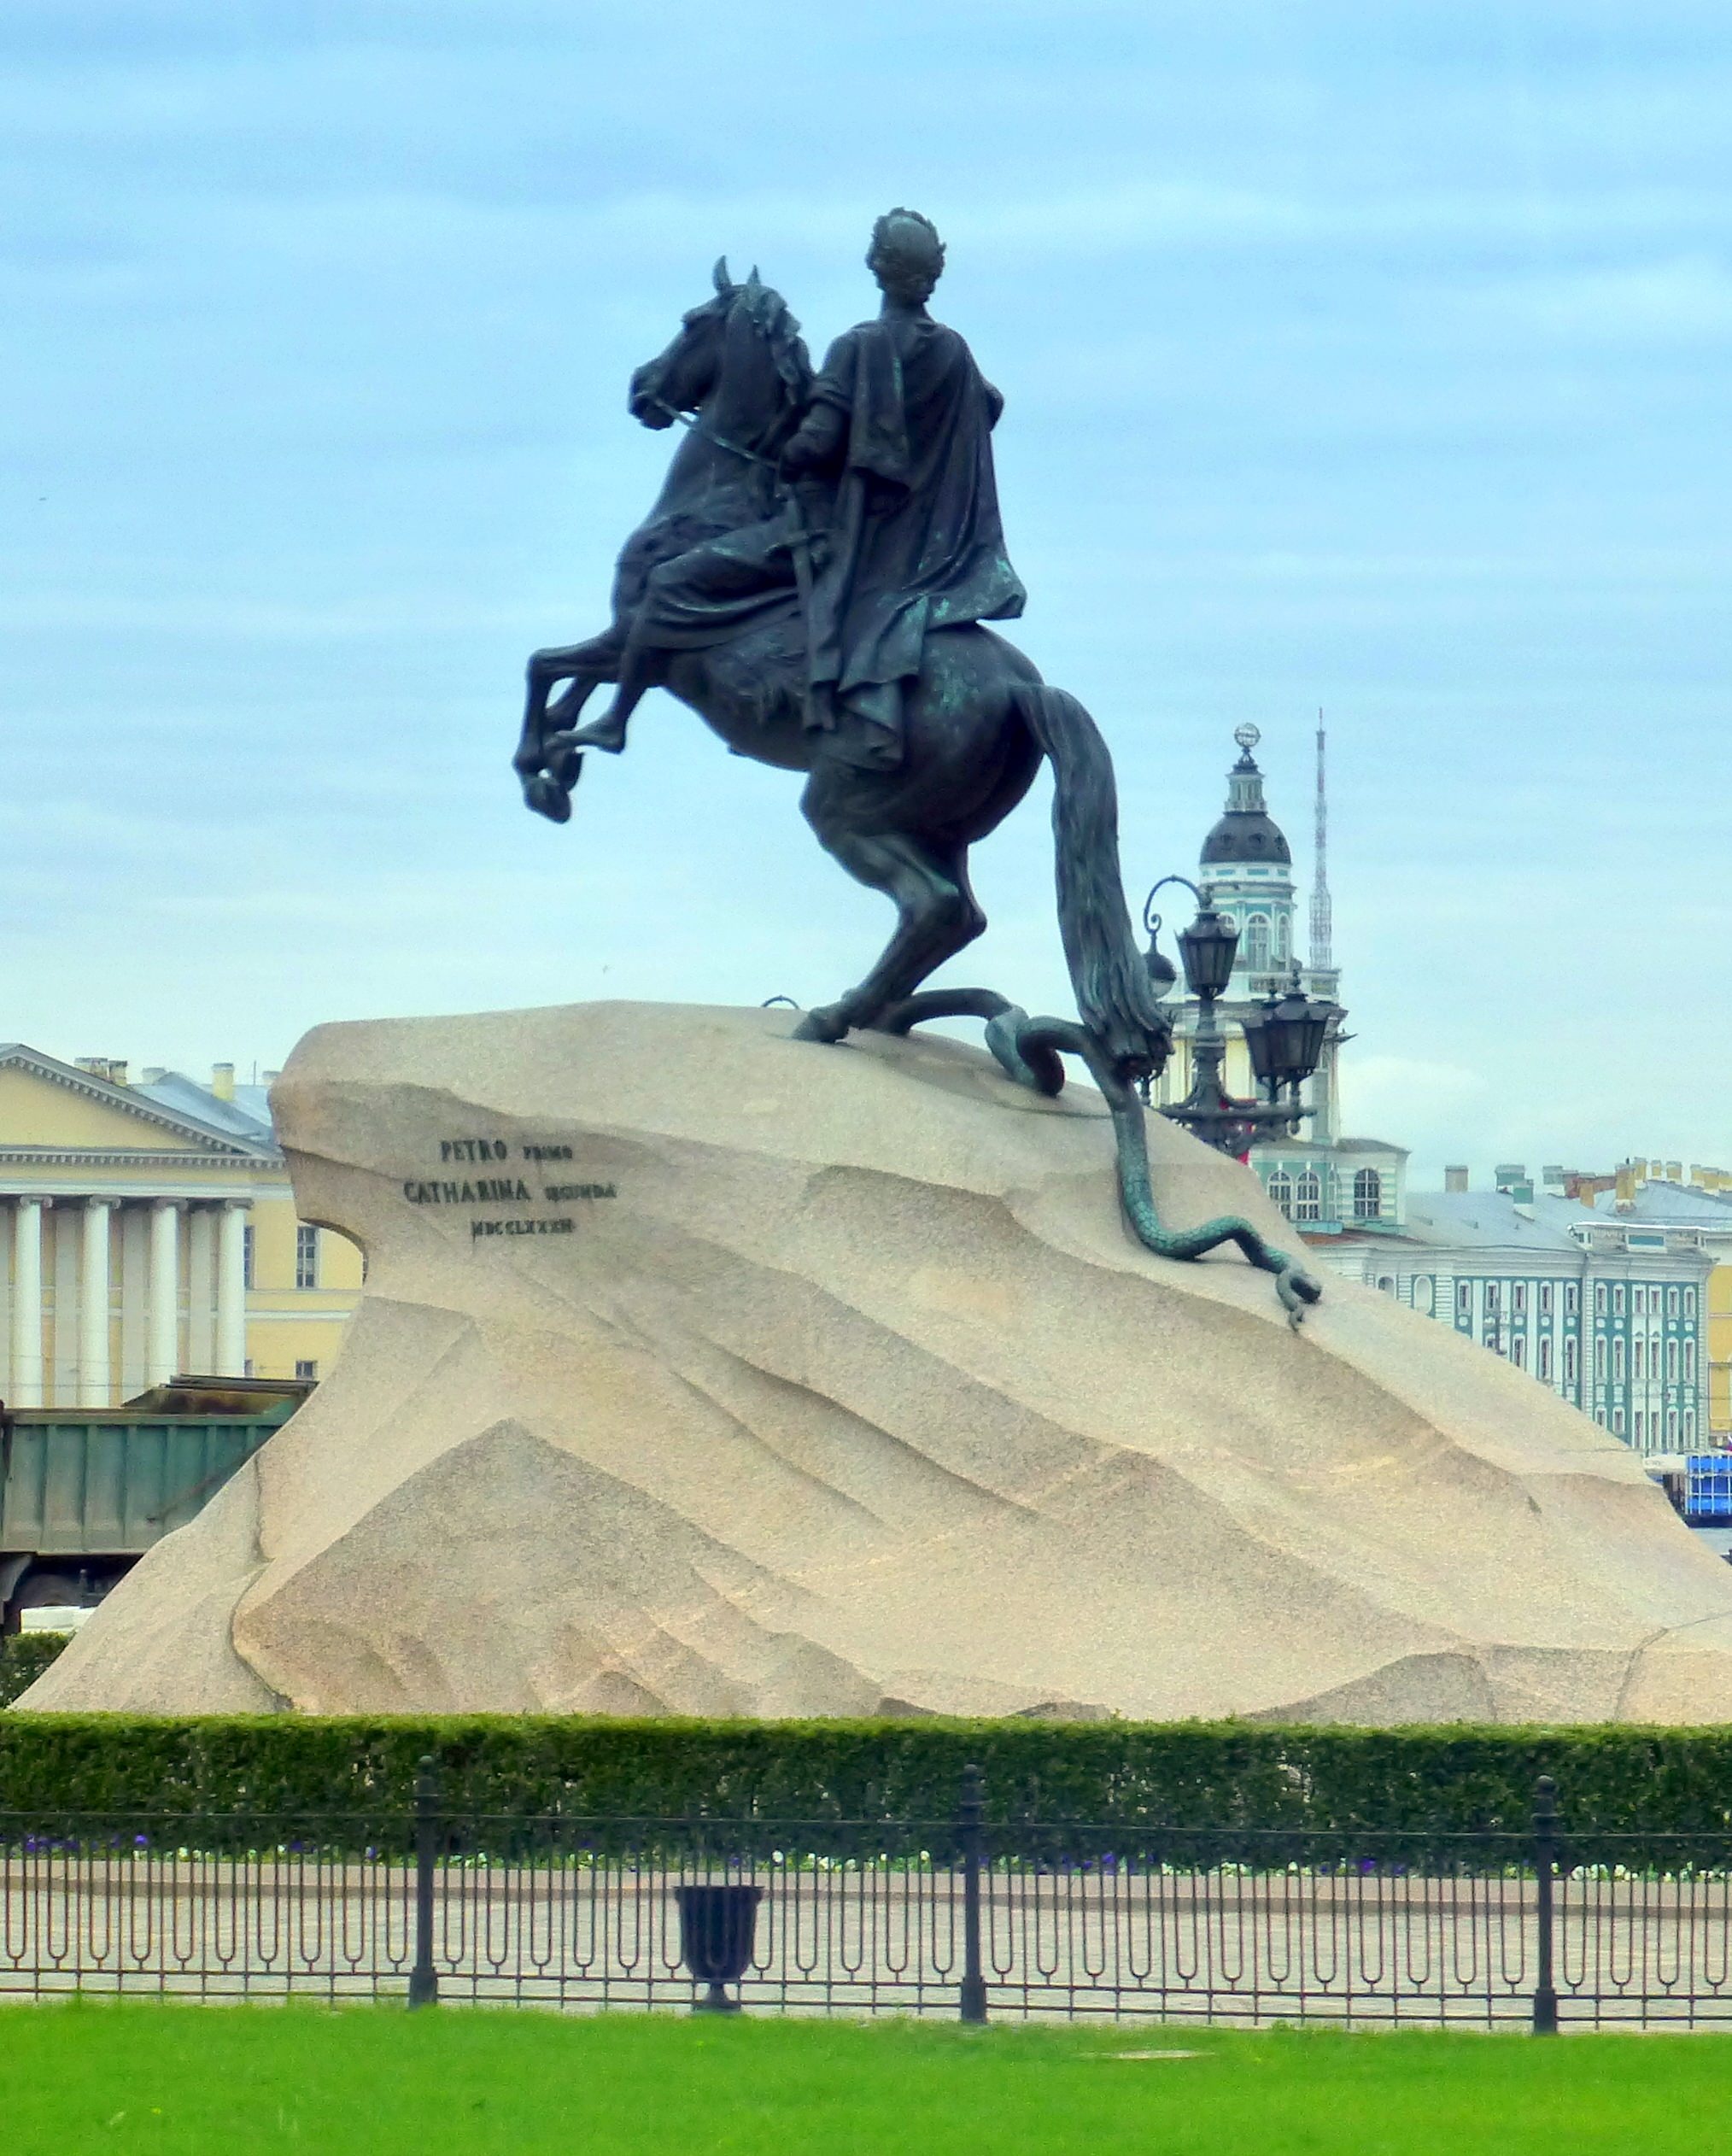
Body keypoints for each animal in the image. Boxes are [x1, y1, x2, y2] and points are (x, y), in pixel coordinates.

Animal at [509, 262, 1319, 1319]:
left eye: (693, 322)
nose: (644, 389)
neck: (724, 503)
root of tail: (1021, 686)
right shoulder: (627, 640)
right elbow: (567, 674)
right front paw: (557, 765)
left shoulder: (648, 621)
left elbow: (562, 670)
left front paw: (553, 765)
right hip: (939, 821)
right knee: (953, 915)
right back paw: (889, 1013)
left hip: (843, 808)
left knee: (935, 910)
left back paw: (836, 1016)